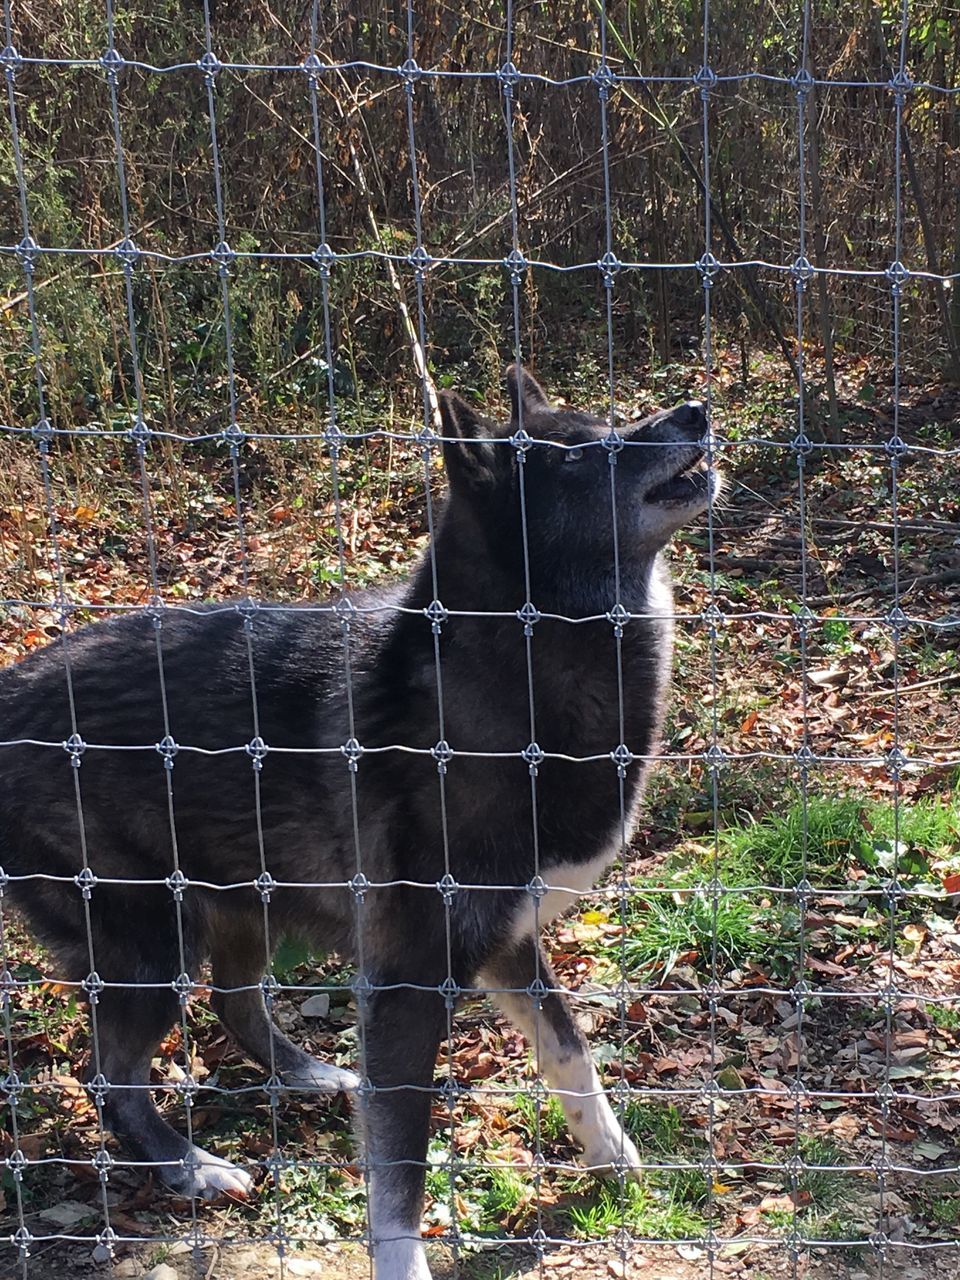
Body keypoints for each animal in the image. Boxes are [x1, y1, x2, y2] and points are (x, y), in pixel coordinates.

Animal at [0, 371, 721, 1280]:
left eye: (610, 422)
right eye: (577, 456)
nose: (697, 411)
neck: (512, 675)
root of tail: (6, 698)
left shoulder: (505, 943)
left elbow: (571, 1053)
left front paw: (612, 1159)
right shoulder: (408, 982)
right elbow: (399, 1170)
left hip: (238, 911)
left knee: (235, 1005)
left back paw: (310, 1077)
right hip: (153, 946)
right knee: (113, 1075)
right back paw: (189, 1165)